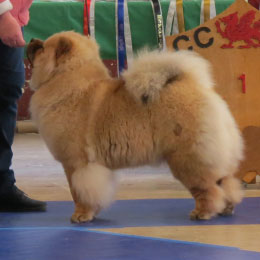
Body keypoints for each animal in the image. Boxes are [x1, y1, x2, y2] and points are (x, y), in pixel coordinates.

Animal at [26, 31, 244, 222]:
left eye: (42, 47)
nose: (31, 39)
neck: (68, 82)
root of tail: (196, 86)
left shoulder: (76, 163)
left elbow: (78, 192)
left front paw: (81, 215)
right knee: (224, 181)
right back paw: (227, 208)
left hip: (185, 158)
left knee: (207, 187)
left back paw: (203, 212)